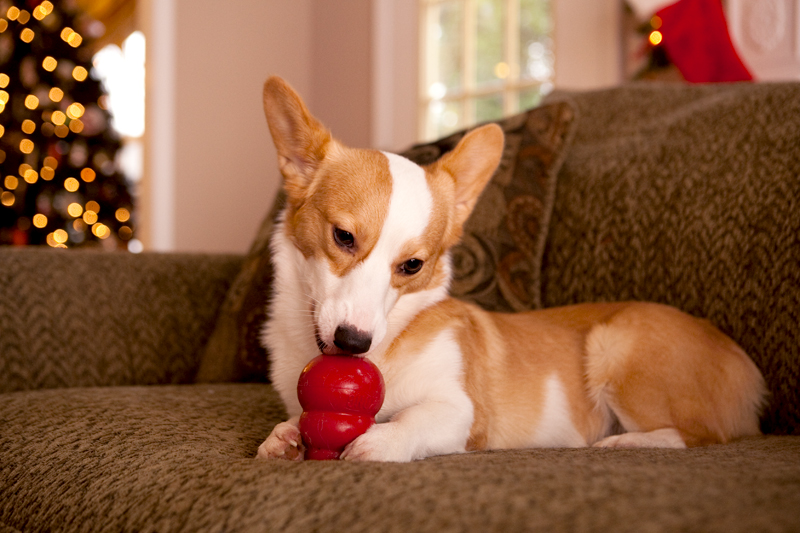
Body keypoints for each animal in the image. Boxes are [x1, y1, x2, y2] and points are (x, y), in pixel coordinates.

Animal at [255, 76, 764, 462]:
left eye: (412, 265)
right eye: (343, 237)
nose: (353, 343)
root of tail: (743, 361)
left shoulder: (460, 409)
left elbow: (412, 418)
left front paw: (380, 441)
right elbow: (292, 422)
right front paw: (284, 436)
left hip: (616, 348)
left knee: (696, 435)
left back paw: (624, 442)